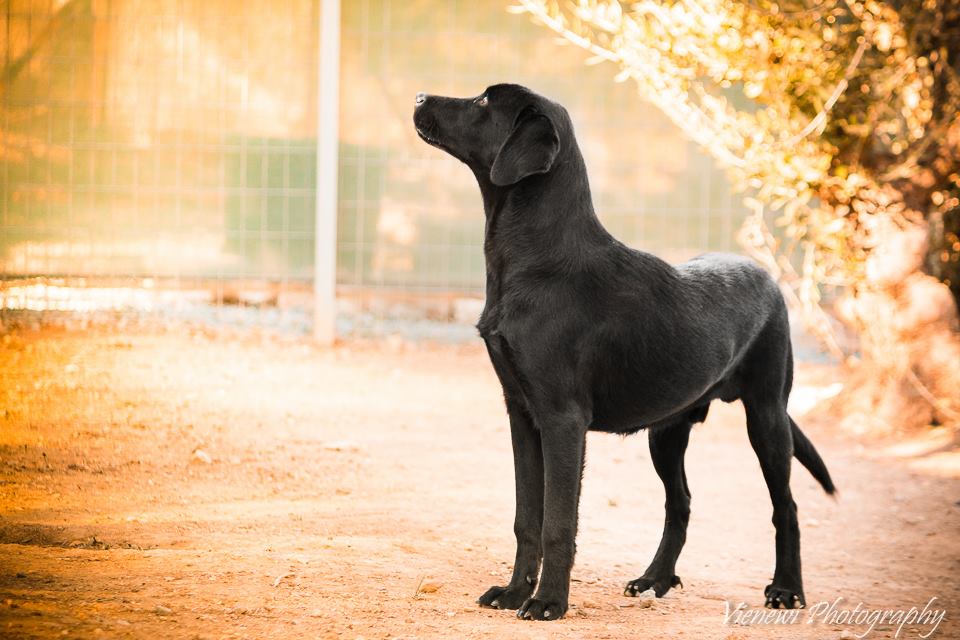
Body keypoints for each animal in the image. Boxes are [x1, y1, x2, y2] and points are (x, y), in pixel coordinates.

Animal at [413, 83, 835, 621]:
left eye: (485, 102)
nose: (419, 97)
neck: (536, 259)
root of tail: (769, 279)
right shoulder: (521, 414)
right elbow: (526, 518)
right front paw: (512, 594)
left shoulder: (563, 419)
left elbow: (557, 523)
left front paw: (548, 603)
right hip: (667, 431)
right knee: (681, 503)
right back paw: (655, 579)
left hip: (766, 417)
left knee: (787, 507)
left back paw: (786, 589)